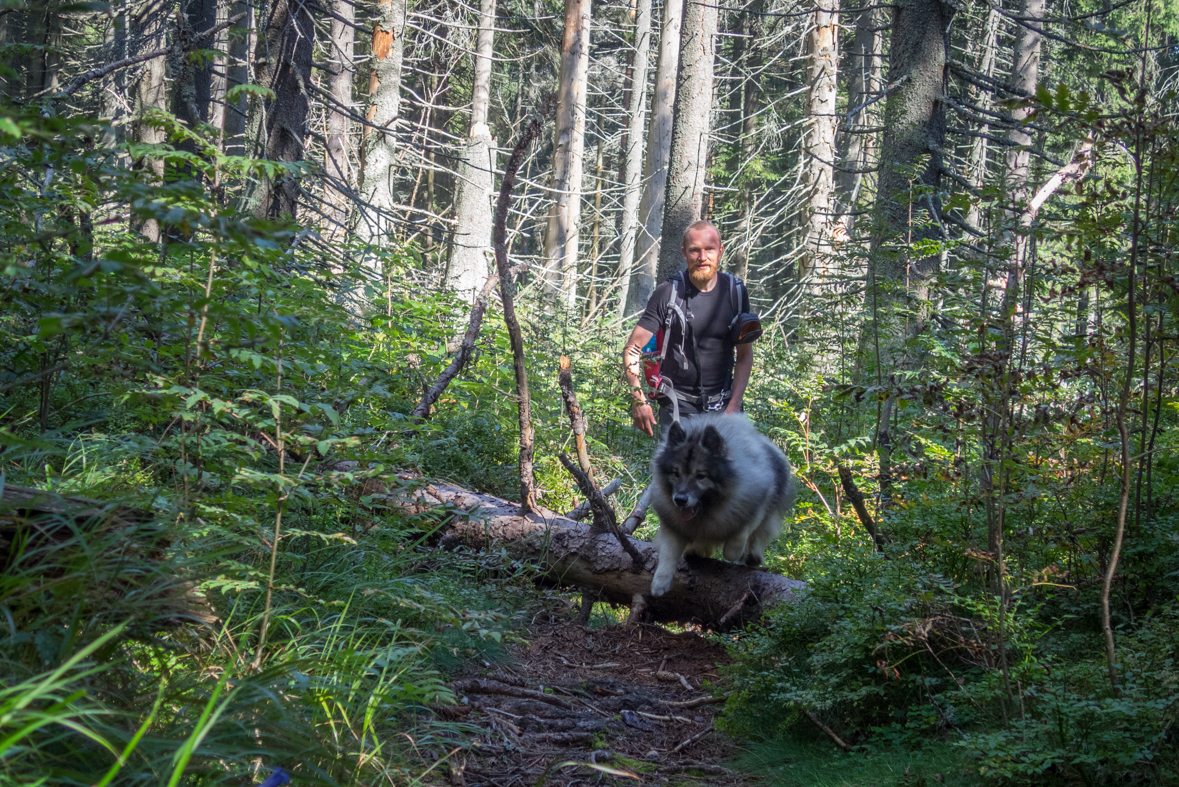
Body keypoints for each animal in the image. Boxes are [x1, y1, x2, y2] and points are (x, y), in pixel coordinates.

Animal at [650, 412, 797, 596]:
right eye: (676, 473)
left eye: (701, 476)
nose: (680, 499)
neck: (708, 508)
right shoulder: (673, 525)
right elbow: (668, 554)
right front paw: (660, 582)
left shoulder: (755, 504)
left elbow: (737, 540)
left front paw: (737, 553)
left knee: (758, 536)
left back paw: (752, 557)